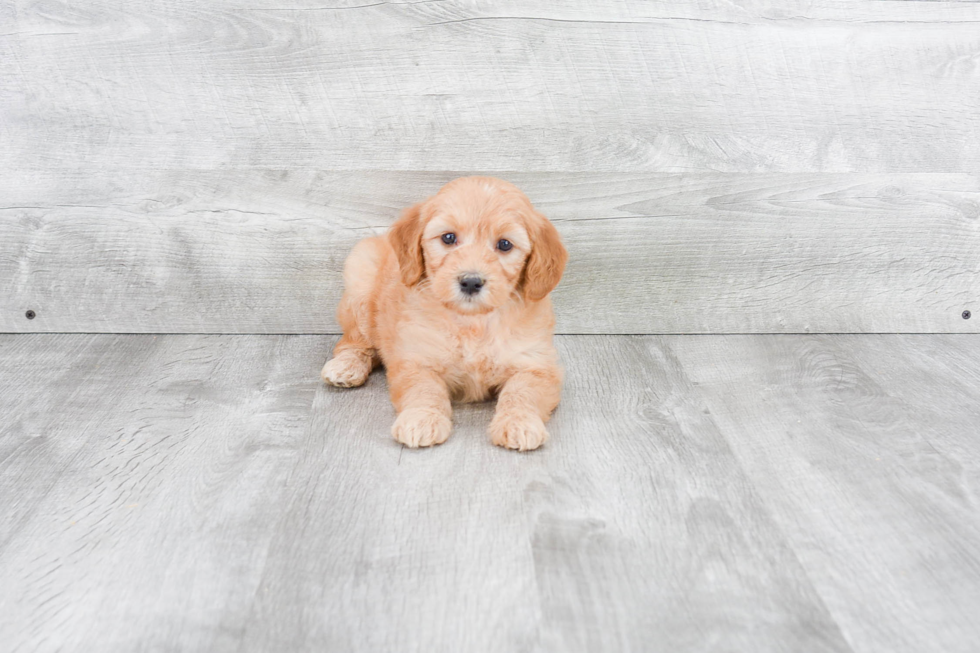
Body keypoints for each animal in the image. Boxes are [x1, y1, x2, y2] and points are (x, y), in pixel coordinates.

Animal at [322, 176, 568, 450]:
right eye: (448, 238)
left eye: (504, 244)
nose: (470, 282)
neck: (473, 322)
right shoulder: (418, 358)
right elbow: (425, 389)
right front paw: (421, 419)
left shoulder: (535, 364)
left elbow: (522, 391)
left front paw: (519, 423)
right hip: (361, 278)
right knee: (353, 342)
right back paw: (346, 366)